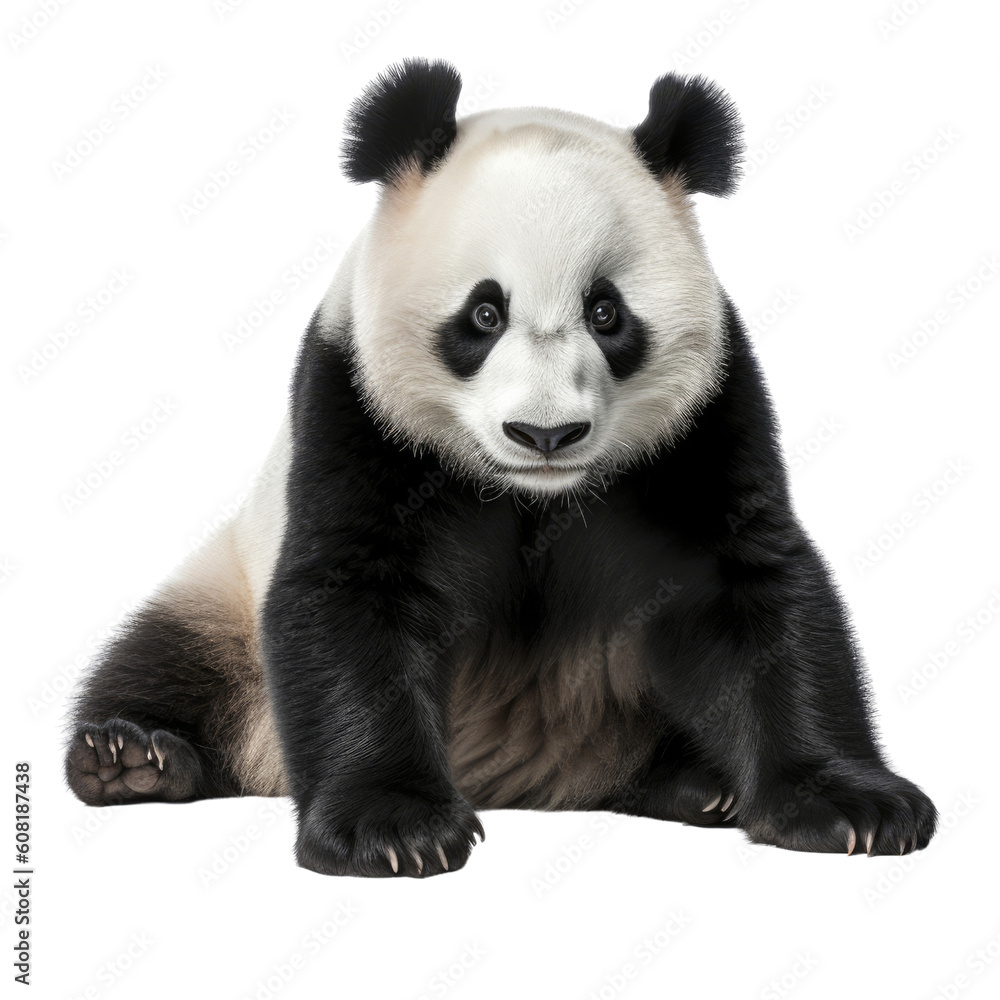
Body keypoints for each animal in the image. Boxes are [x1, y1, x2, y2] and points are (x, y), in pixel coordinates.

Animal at [65, 59, 937, 877]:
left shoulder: (707, 422)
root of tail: (530, 779)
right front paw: (394, 827)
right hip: (223, 594)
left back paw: (696, 781)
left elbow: (750, 589)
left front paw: (852, 805)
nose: (545, 433)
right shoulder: (354, 407)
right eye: (484, 314)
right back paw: (132, 757)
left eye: (606, 312)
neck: (534, 496)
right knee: (169, 656)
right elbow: (351, 589)